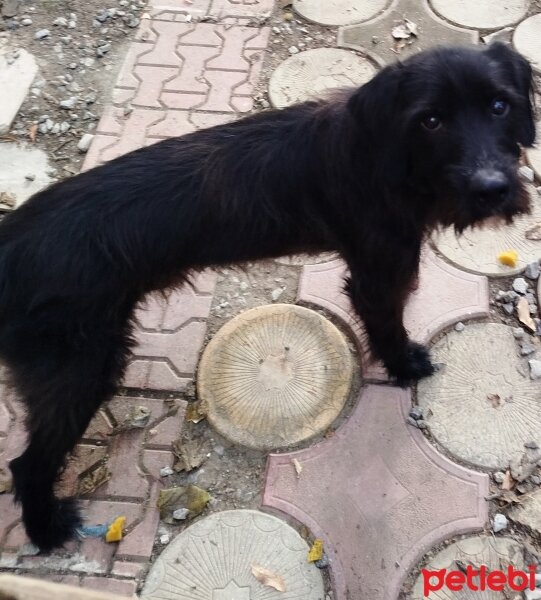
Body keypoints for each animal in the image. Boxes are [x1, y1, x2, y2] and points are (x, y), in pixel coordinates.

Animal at [0, 41, 532, 548]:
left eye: (499, 105)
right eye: (431, 120)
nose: (492, 189)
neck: (384, 154)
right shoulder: (376, 273)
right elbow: (385, 323)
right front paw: (404, 363)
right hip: (79, 373)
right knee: (27, 465)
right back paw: (46, 530)